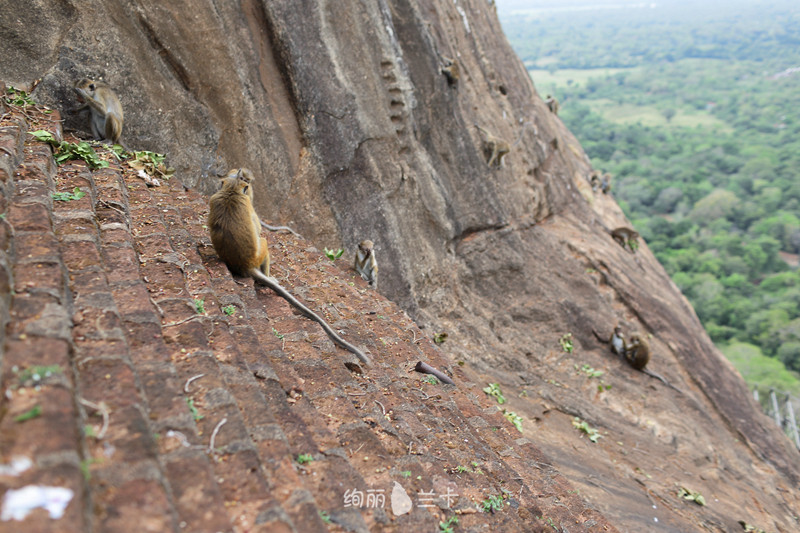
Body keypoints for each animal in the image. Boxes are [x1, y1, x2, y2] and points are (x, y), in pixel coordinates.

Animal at [206, 169, 368, 366]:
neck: (231, 192)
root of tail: (245, 266)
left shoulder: (214, 199)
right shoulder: (248, 205)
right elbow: (258, 229)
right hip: (259, 253)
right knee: (264, 241)